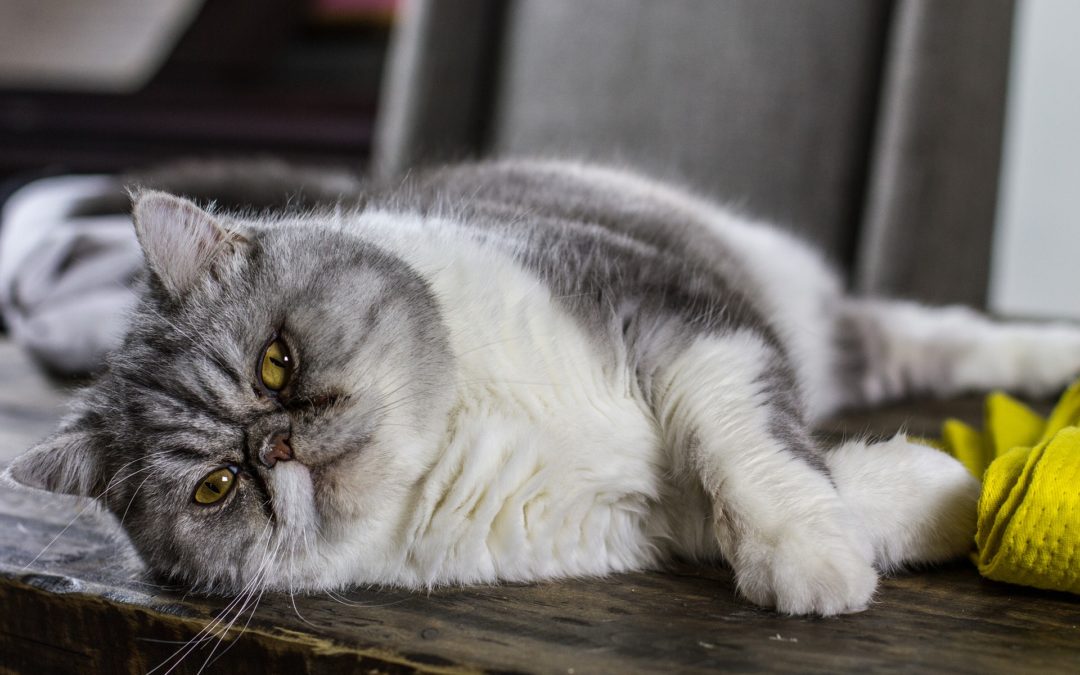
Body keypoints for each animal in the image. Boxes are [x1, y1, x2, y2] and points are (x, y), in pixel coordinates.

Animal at [8, 158, 1080, 617]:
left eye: (277, 362)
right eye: (216, 487)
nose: (275, 445)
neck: (459, 420)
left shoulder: (676, 318)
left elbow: (744, 446)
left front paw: (811, 555)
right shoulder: (653, 517)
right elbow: (781, 485)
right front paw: (935, 500)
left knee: (957, 333)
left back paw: (1050, 354)